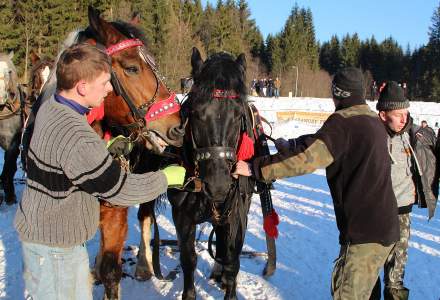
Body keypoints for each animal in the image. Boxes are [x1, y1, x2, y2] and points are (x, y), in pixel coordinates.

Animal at [169, 48, 258, 298]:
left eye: (238, 116)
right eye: (197, 113)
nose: (218, 186)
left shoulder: (237, 213)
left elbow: (232, 260)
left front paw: (230, 285)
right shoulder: (182, 217)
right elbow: (188, 260)